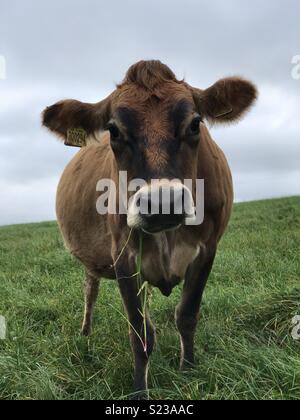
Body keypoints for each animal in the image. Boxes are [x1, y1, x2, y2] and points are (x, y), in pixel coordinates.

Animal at [42, 60, 258, 398]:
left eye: (195, 123)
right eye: (114, 130)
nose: (162, 203)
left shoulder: (208, 248)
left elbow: (187, 314)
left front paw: (188, 371)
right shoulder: (122, 255)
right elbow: (139, 331)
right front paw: (139, 390)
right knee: (90, 290)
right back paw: (85, 333)